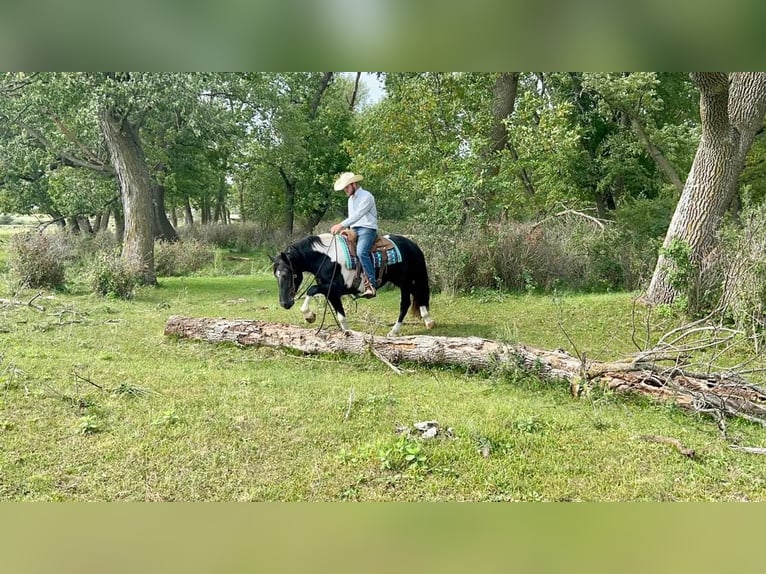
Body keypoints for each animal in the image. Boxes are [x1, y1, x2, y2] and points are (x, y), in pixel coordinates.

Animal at [272, 234, 436, 338]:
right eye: (276, 275)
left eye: (289, 275)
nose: (285, 303)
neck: (326, 258)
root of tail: (413, 245)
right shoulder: (331, 292)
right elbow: (340, 315)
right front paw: (347, 333)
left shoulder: (335, 287)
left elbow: (311, 290)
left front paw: (309, 316)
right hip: (401, 281)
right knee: (418, 293)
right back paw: (428, 321)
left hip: (404, 282)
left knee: (406, 302)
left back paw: (395, 331)